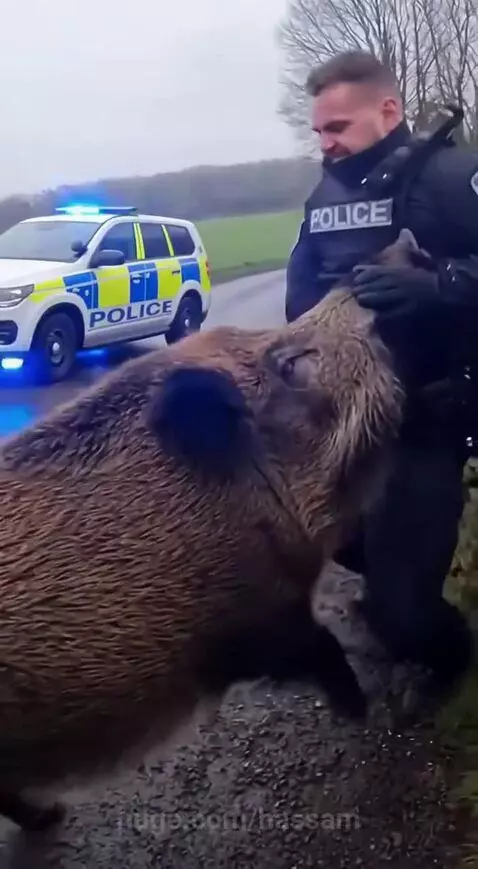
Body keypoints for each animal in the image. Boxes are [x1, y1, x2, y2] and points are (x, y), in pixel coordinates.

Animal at [0, 232, 409, 833]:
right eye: (292, 363)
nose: (398, 247)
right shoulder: (253, 620)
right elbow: (321, 646)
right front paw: (359, 711)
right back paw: (51, 817)